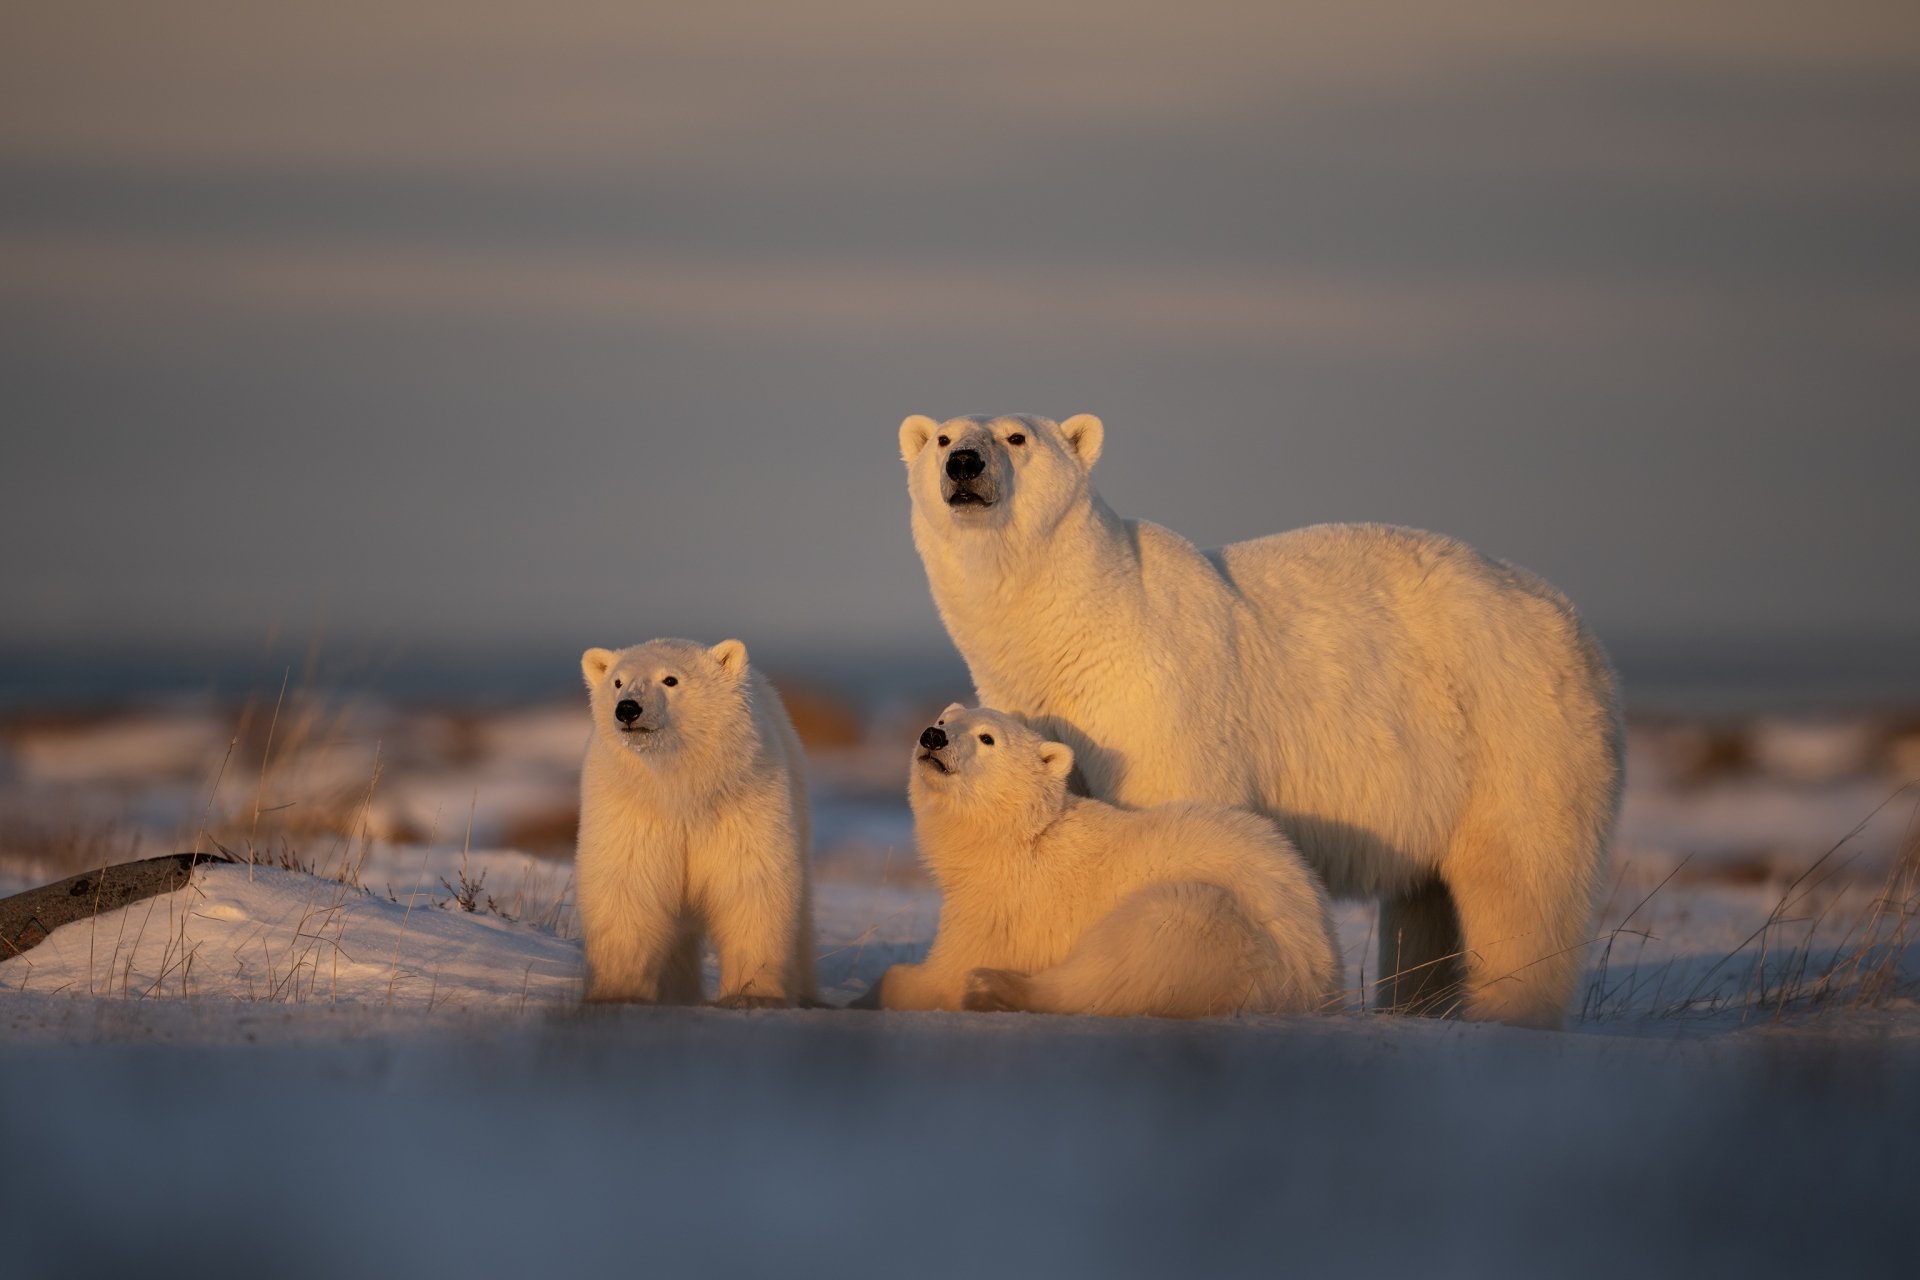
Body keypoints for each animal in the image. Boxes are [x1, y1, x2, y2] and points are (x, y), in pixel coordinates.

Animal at [575, 637, 814, 1007]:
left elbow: (749, 885)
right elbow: (628, 886)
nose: (628, 708)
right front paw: (618, 993)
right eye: (617, 681)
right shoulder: (631, 812)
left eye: (670, 679)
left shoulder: (742, 806)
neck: (683, 789)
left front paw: (752, 995)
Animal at [876, 705, 1343, 1017]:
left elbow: (950, 967)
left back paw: (992, 986)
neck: (1022, 839)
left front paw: (901, 983)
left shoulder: (1007, 905)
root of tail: (1318, 975)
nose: (932, 737)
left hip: (1222, 930)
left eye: (987, 738)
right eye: (943, 720)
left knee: (1126, 956)